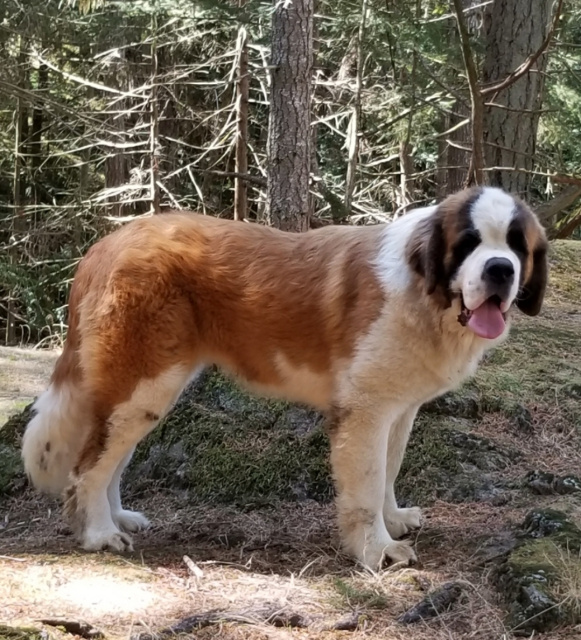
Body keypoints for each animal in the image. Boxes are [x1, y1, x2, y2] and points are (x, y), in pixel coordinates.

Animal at [22, 186, 547, 569]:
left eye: (516, 247)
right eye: (469, 243)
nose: (500, 270)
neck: (425, 293)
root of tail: (106, 244)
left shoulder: (398, 409)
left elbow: (390, 469)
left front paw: (394, 519)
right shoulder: (365, 412)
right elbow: (367, 483)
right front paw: (377, 551)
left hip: (148, 391)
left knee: (112, 455)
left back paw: (118, 518)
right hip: (145, 382)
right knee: (89, 465)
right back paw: (98, 534)